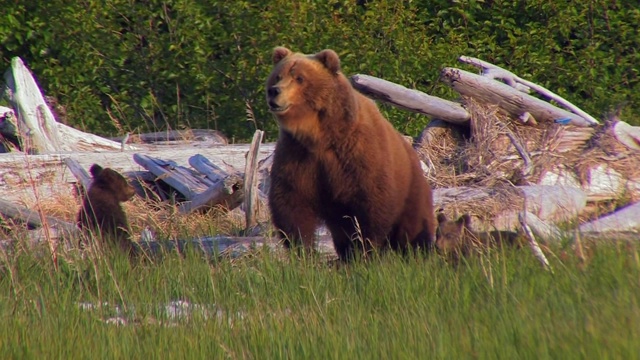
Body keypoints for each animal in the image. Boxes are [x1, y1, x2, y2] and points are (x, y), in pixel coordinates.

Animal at [264, 47, 436, 262]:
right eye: (278, 76)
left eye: (300, 78)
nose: (274, 91)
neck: (320, 134)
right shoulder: (298, 154)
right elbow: (291, 202)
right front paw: (304, 251)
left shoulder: (357, 153)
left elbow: (373, 203)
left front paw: (366, 249)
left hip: (410, 187)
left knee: (412, 224)